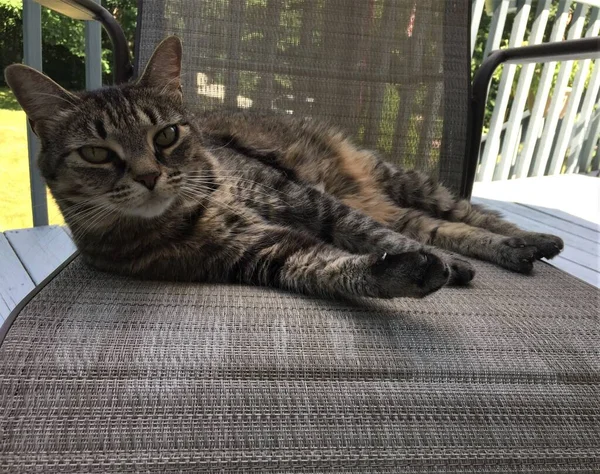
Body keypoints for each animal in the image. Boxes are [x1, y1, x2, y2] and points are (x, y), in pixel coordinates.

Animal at [5, 37, 564, 298]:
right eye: (97, 154)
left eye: (165, 136)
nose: (147, 175)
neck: (196, 208)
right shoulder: (261, 253)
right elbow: (337, 267)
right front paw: (406, 272)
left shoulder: (310, 201)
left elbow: (373, 237)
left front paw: (440, 264)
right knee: (432, 227)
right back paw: (513, 251)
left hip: (403, 181)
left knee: (468, 217)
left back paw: (530, 241)